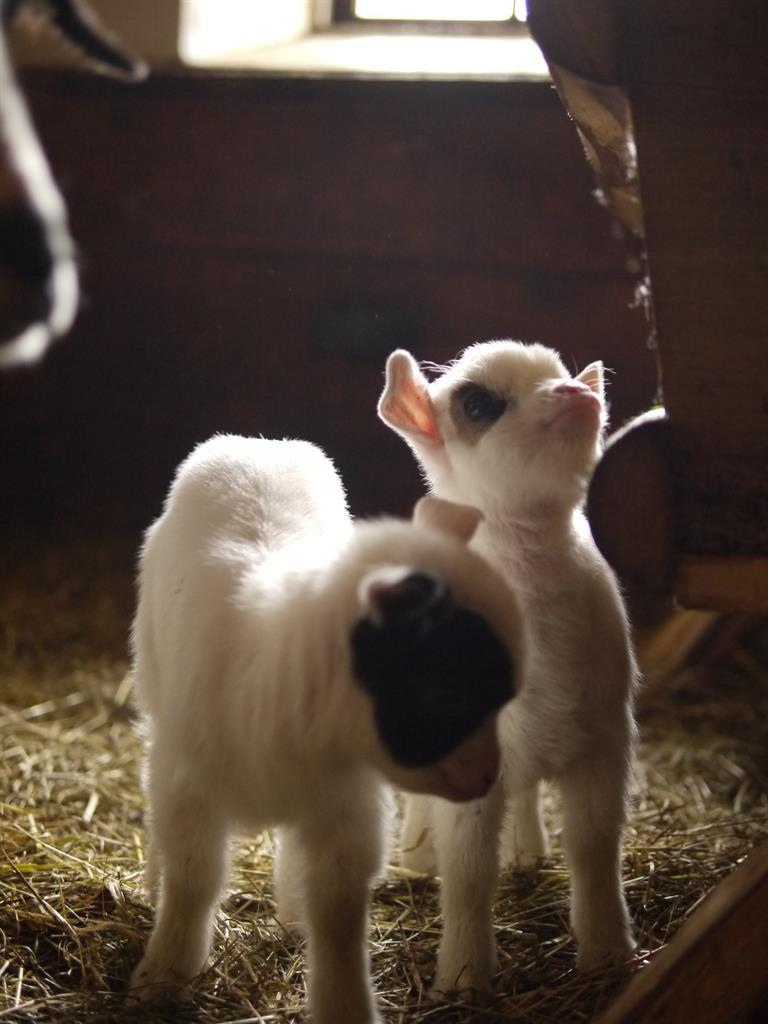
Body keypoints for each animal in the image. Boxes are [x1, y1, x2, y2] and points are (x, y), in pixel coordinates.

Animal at [129, 433, 524, 1024]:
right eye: (444, 693)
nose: (485, 779)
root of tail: (259, 443)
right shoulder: (189, 787)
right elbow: (192, 879)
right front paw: (162, 977)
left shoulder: (345, 806)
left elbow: (337, 910)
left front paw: (342, 1002)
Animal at [378, 340, 638, 995]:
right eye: (477, 402)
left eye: (563, 374)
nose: (577, 394)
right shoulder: (467, 760)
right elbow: (470, 870)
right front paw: (464, 977)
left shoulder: (606, 737)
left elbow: (596, 848)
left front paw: (609, 954)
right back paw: (416, 858)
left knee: (526, 795)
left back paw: (527, 849)